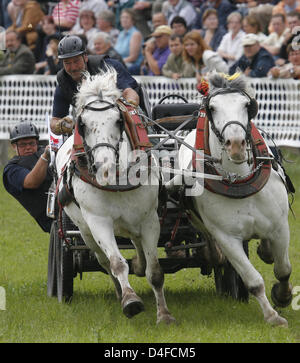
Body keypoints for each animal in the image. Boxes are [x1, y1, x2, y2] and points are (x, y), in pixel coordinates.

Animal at [55, 69, 176, 328]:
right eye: (82, 124)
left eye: (119, 120)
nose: (105, 167)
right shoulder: (98, 222)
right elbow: (117, 264)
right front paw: (130, 300)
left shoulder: (150, 220)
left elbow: (155, 271)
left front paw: (164, 314)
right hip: (85, 231)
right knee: (104, 262)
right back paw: (121, 293)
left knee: (137, 247)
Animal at [178, 73, 292, 328]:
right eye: (212, 108)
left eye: (246, 105)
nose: (236, 144)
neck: (239, 180)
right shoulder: (228, 238)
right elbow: (253, 280)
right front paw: (273, 316)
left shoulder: (280, 227)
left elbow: (283, 269)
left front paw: (283, 296)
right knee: (209, 240)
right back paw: (214, 255)